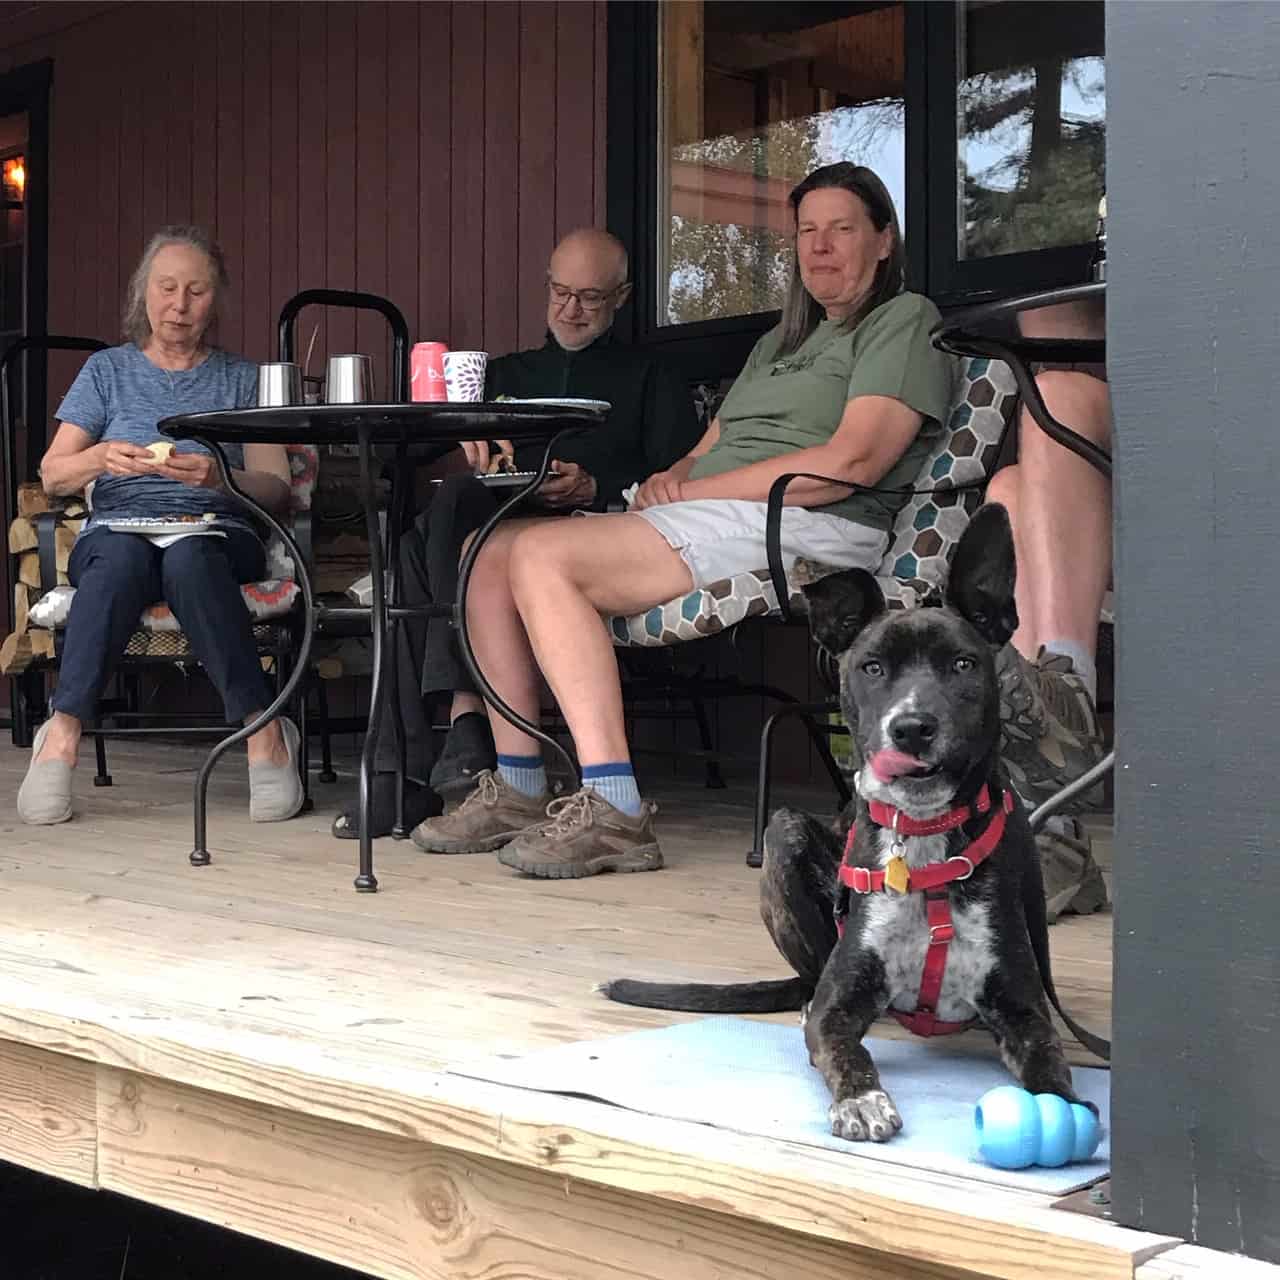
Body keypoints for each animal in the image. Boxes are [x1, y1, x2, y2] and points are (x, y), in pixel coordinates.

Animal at [599, 504, 1100, 1146]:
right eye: (872, 667)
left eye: (963, 664)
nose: (911, 728)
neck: (924, 839)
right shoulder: (840, 1006)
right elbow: (844, 1048)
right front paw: (862, 1100)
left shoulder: (1023, 1007)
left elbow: (1048, 1061)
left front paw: (1065, 1109)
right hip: (784, 833)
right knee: (810, 981)